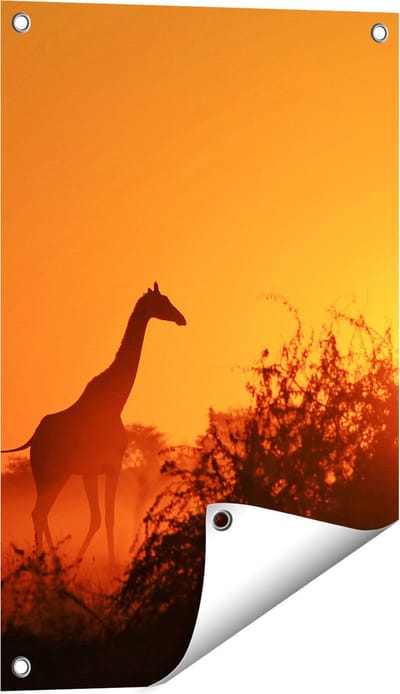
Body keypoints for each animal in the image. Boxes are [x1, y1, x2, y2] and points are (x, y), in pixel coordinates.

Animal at [1, 282, 186, 565]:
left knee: (40, 512)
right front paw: (110, 565)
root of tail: (34, 438)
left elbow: (97, 518)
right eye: (163, 301)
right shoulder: (113, 465)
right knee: (39, 511)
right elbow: (108, 518)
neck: (116, 401)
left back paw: (49, 559)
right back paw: (46, 560)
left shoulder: (90, 471)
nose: (182, 318)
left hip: (48, 474)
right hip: (53, 473)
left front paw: (78, 561)